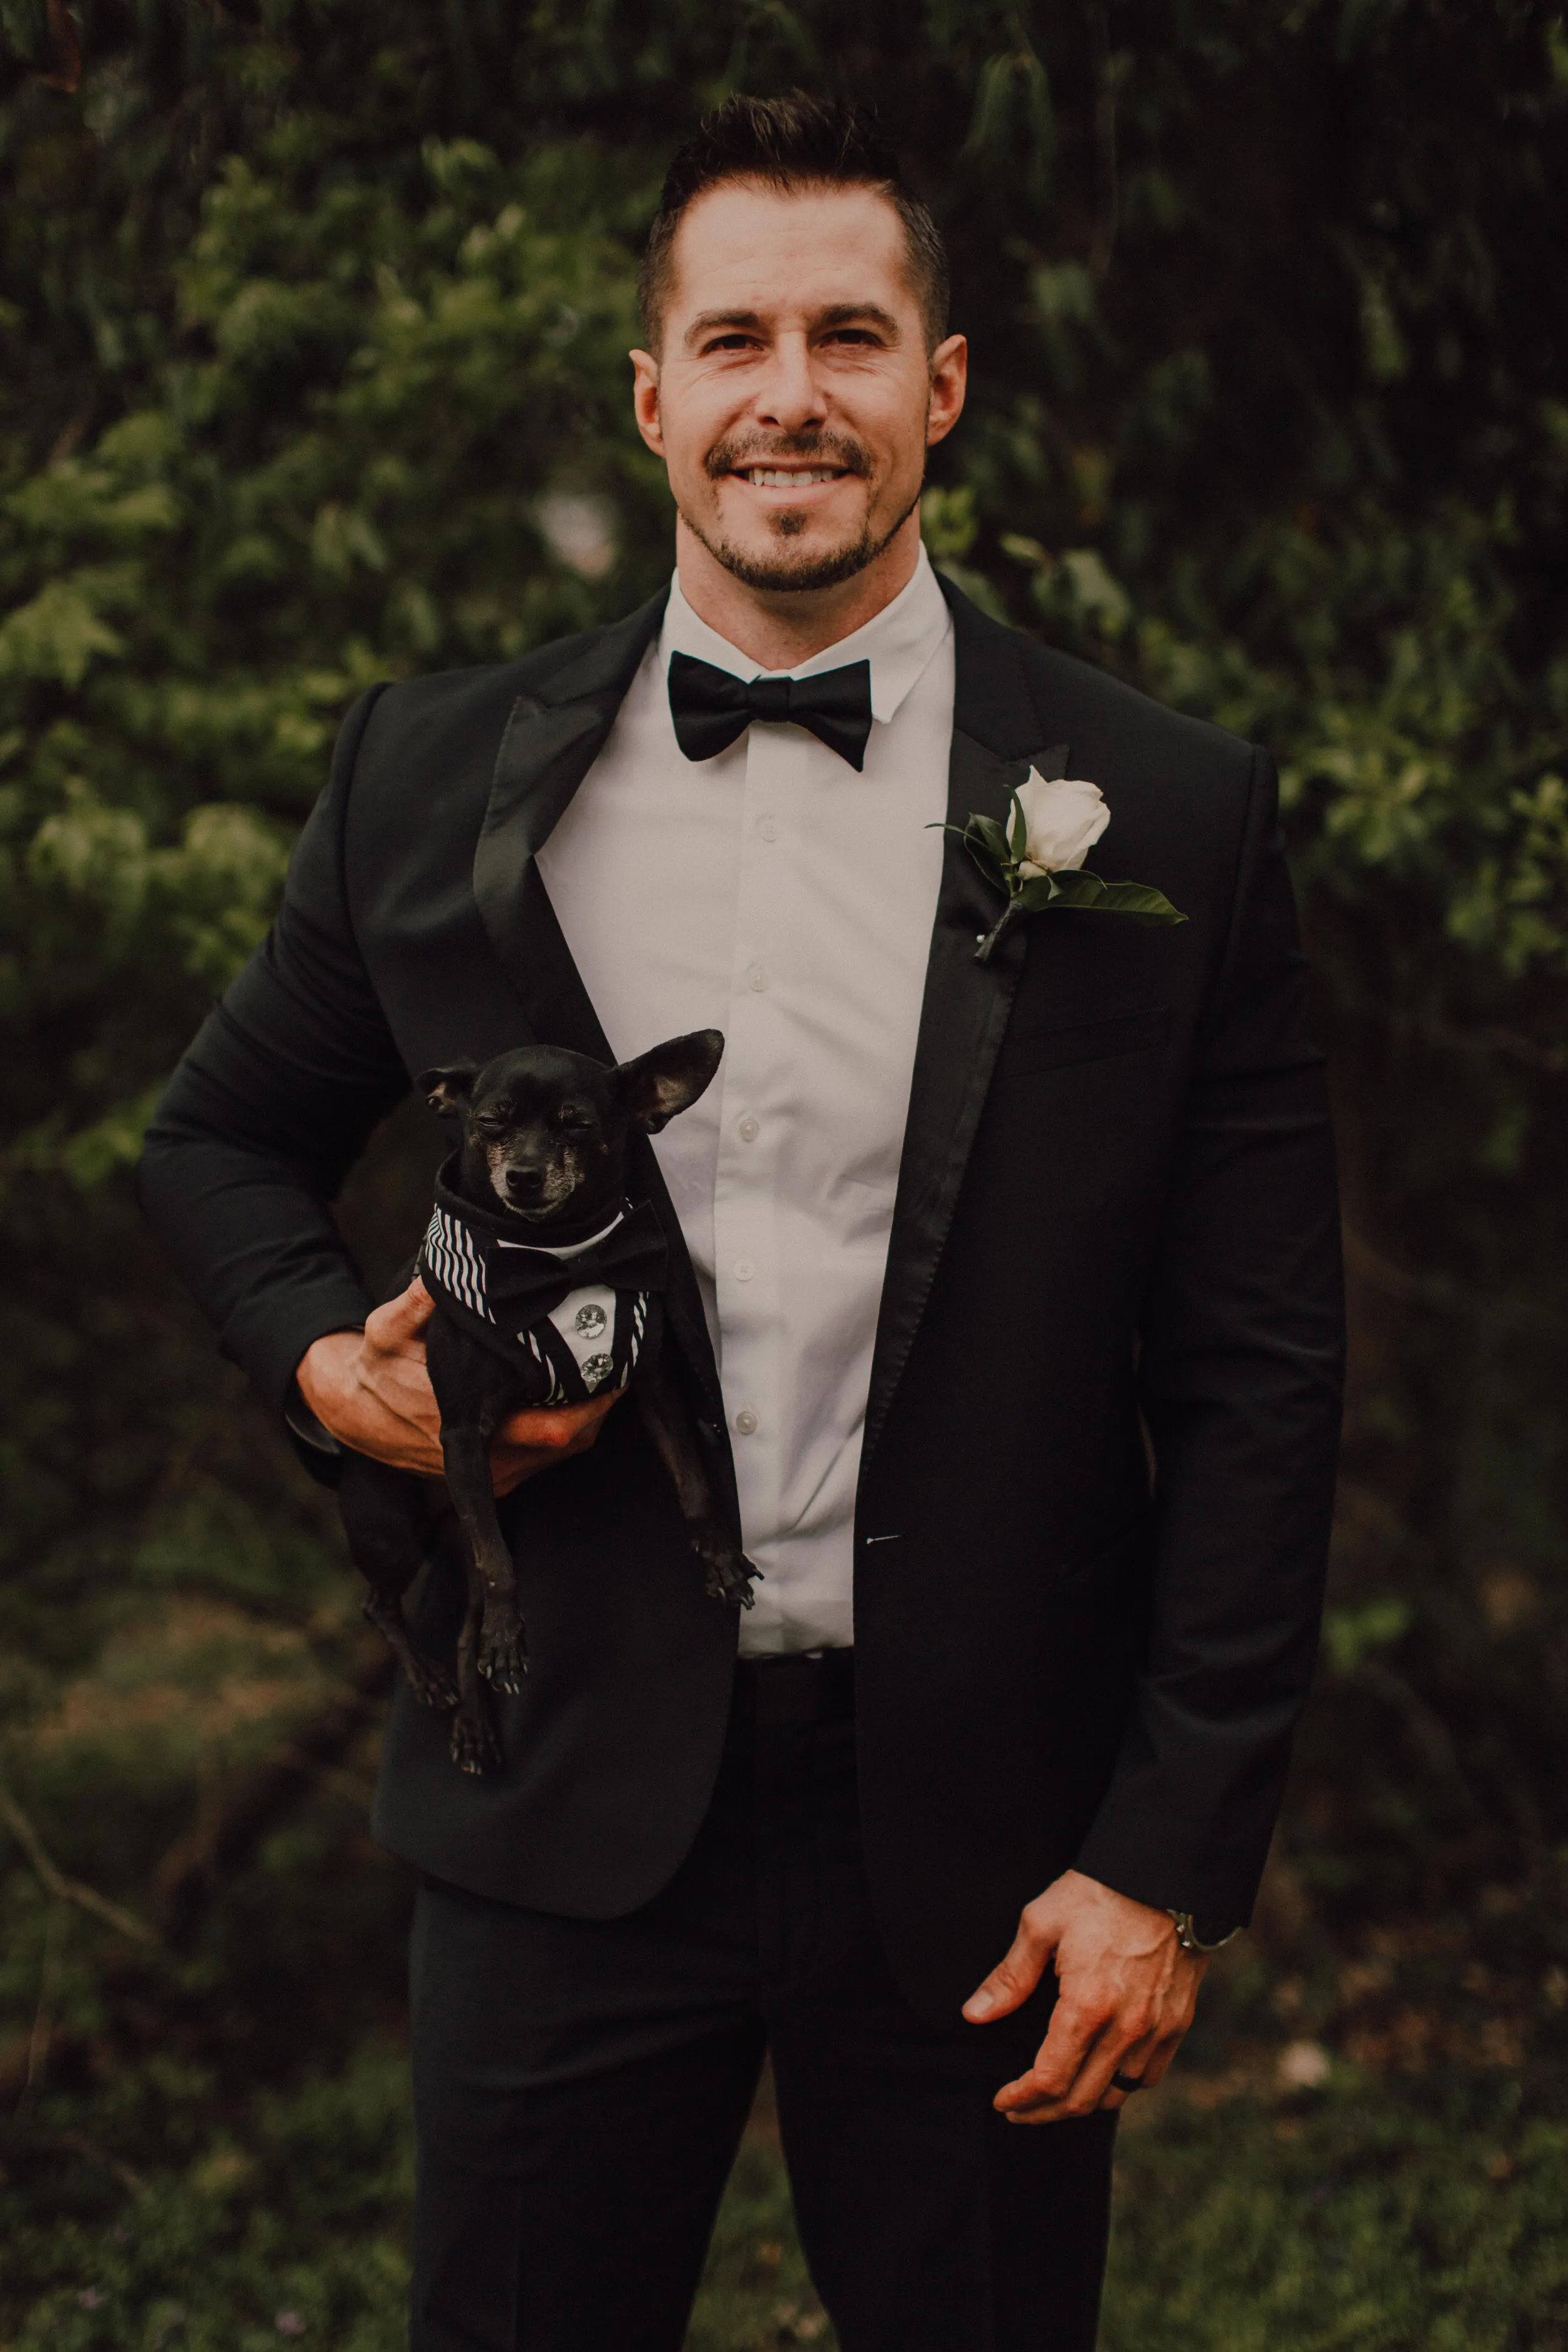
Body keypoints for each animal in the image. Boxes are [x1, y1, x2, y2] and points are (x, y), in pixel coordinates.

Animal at [338, 1030, 761, 1769]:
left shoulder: (654, 1391)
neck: (557, 1257)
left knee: (462, 1630)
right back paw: (430, 1676)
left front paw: (717, 1557)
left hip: (458, 1523)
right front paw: (512, 1638)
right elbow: (502, 1569)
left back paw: (474, 1726)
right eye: (490, 1123)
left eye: (578, 1126)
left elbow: (693, 1482)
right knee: (382, 1604)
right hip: (394, 1528)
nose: (525, 1176)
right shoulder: (462, 1437)